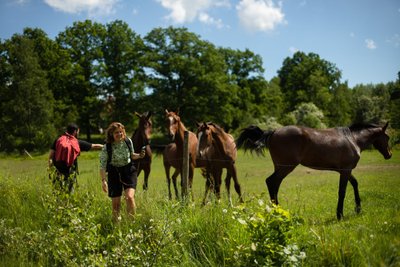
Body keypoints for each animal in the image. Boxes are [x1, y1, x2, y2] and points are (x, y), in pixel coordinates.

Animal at [238, 123, 390, 220]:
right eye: (387, 137)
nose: (389, 155)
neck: (352, 139)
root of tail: (273, 132)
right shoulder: (346, 170)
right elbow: (342, 192)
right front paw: (340, 215)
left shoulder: (345, 170)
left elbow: (355, 184)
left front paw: (358, 209)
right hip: (286, 167)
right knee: (272, 182)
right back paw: (277, 211)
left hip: (281, 167)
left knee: (274, 184)